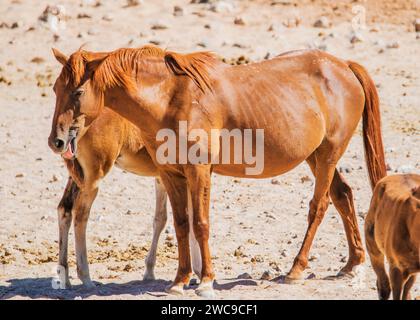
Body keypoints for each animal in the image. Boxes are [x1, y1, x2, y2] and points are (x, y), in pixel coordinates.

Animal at [50, 45, 388, 298]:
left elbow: (200, 224)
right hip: (315, 157)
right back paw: (352, 264)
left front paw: (206, 281)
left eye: (78, 92)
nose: (57, 140)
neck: (170, 99)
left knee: (319, 206)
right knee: (343, 195)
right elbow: (181, 224)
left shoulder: (199, 171)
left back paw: (296, 269)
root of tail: (343, 65)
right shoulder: (171, 174)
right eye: (55, 88)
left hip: (328, 155)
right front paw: (180, 280)